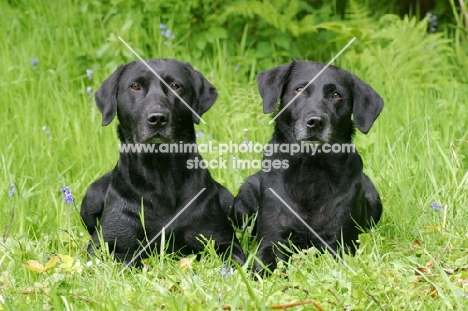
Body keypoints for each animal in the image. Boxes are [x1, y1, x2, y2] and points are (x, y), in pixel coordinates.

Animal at [81, 59, 245, 266]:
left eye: (175, 86)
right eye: (135, 86)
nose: (157, 118)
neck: (160, 173)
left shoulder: (224, 242)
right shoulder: (102, 246)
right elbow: (126, 261)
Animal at [233, 61, 384, 272]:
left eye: (336, 95)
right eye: (300, 90)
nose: (316, 122)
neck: (310, 168)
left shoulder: (338, 243)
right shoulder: (273, 239)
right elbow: (264, 263)